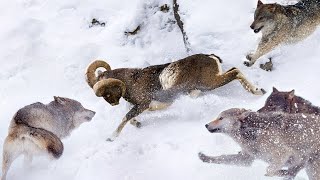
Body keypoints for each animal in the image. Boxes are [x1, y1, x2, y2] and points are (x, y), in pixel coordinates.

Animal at [84, 53, 264, 141]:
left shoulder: (143, 104)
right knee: (234, 70)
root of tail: (210, 57)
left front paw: (111, 137)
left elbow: (126, 117)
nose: (112, 104)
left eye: (106, 91)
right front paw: (137, 123)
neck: (132, 81)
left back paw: (258, 91)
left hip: (210, 83)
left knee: (235, 72)